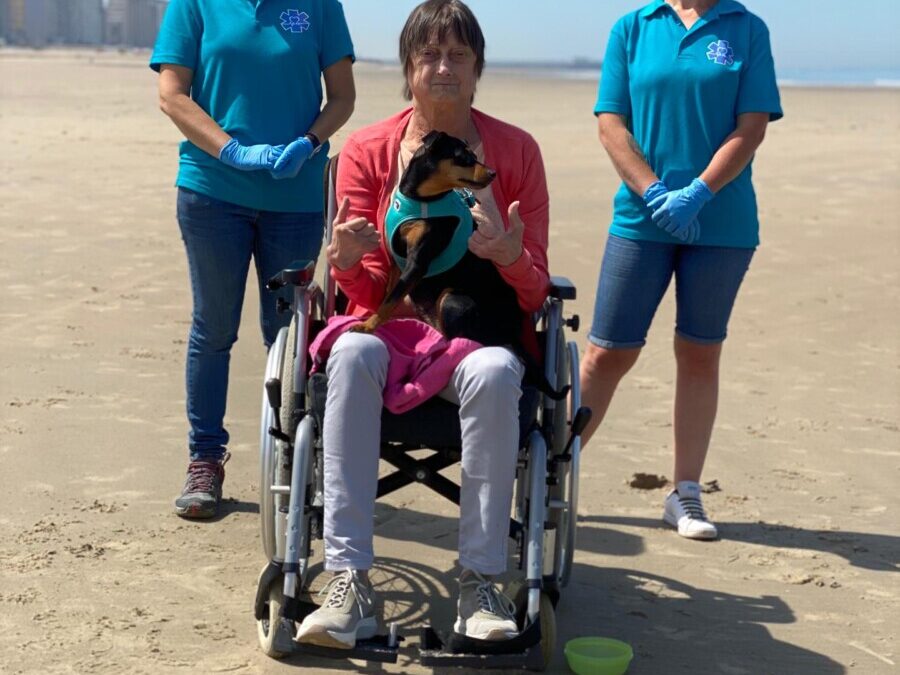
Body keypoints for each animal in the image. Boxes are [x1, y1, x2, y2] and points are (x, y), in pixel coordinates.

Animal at [354, 129, 568, 398]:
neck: (421, 199)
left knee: (467, 340)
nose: (492, 173)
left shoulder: (417, 262)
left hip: (453, 299)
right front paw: (374, 321)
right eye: (463, 157)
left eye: (474, 155)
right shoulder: (396, 261)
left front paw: (367, 326)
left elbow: (391, 299)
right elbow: (388, 296)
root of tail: (512, 333)